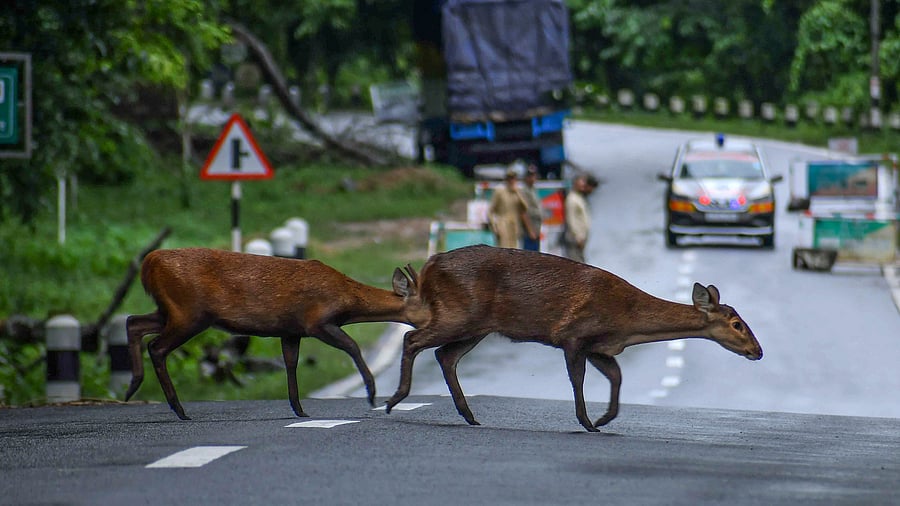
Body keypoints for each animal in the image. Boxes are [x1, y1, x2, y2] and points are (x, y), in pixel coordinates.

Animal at [124, 247, 415, 420]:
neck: (347, 299)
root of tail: (149, 263)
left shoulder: (291, 330)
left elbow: (290, 363)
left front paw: (299, 409)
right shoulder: (317, 322)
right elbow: (352, 345)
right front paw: (372, 394)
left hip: (172, 311)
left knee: (133, 322)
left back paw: (133, 387)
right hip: (189, 312)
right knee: (157, 347)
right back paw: (178, 409)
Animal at [385, 245, 763, 432]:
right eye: (737, 323)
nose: (758, 351)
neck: (628, 320)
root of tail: (429, 266)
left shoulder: (600, 347)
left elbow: (616, 376)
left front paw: (604, 419)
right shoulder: (574, 334)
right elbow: (578, 379)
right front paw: (587, 422)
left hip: (477, 325)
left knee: (445, 355)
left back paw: (468, 415)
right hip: (461, 314)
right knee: (413, 339)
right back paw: (394, 400)